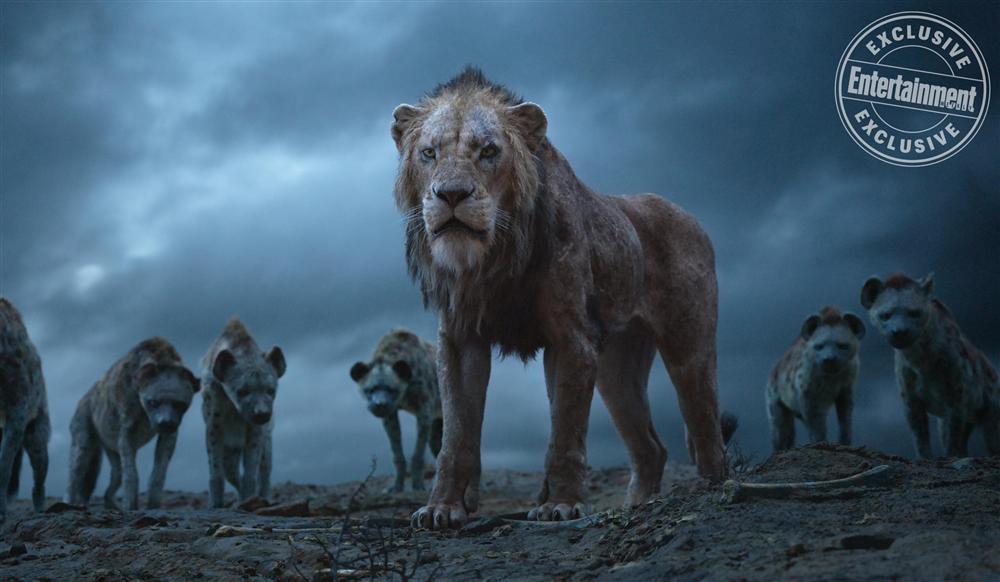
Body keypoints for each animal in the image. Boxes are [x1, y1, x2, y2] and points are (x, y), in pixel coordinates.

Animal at [392, 68, 731, 529]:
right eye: (429, 153)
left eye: (488, 151)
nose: (452, 194)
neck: (494, 257)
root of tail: (693, 219)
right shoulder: (461, 340)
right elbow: (456, 434)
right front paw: (443, 507)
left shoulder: (572, 337)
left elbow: (566, 428)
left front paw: (561, 504)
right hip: (616, 371)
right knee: (651, 448)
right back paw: (638, 504)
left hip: (688, 346)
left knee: (704, 420)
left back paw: (715, 488)